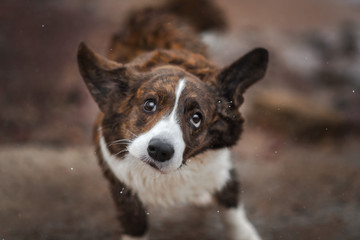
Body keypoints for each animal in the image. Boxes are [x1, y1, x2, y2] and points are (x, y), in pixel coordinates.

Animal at [76, 0, 268, 239]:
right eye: (149, 105)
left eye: (196, 118)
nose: (159, 150)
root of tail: (155, 10)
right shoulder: (122, 189)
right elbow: (135, 223)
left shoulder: (223, 169)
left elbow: (231, 206)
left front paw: (244, 233)